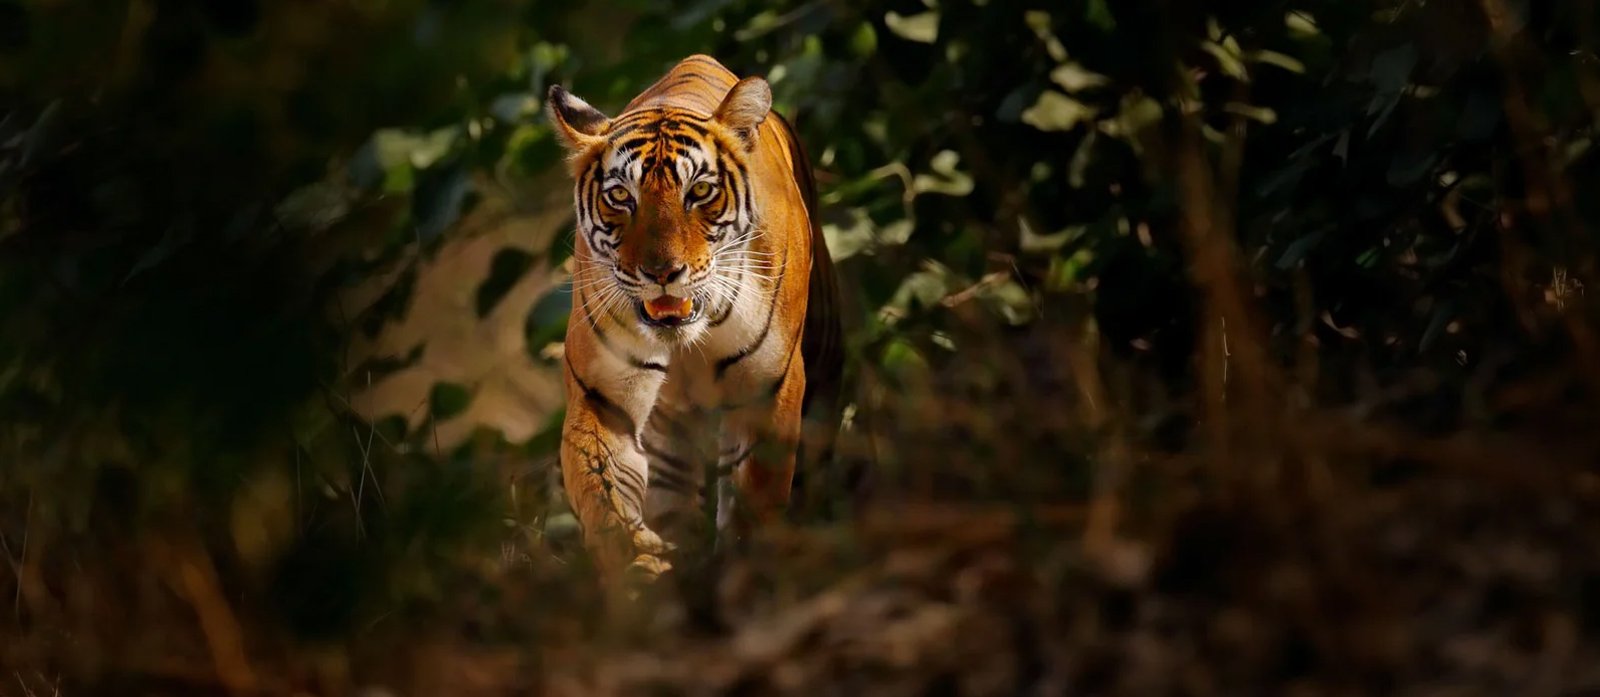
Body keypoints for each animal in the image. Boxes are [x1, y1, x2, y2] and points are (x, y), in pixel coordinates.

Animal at [544, 54, 843, 585]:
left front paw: (747, 566)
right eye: (621, 197)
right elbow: (600, 486)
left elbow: (755, 493)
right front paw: (635, 559)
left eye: (700, 191)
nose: (662, 273)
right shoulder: (601, 394)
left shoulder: (768, 386)